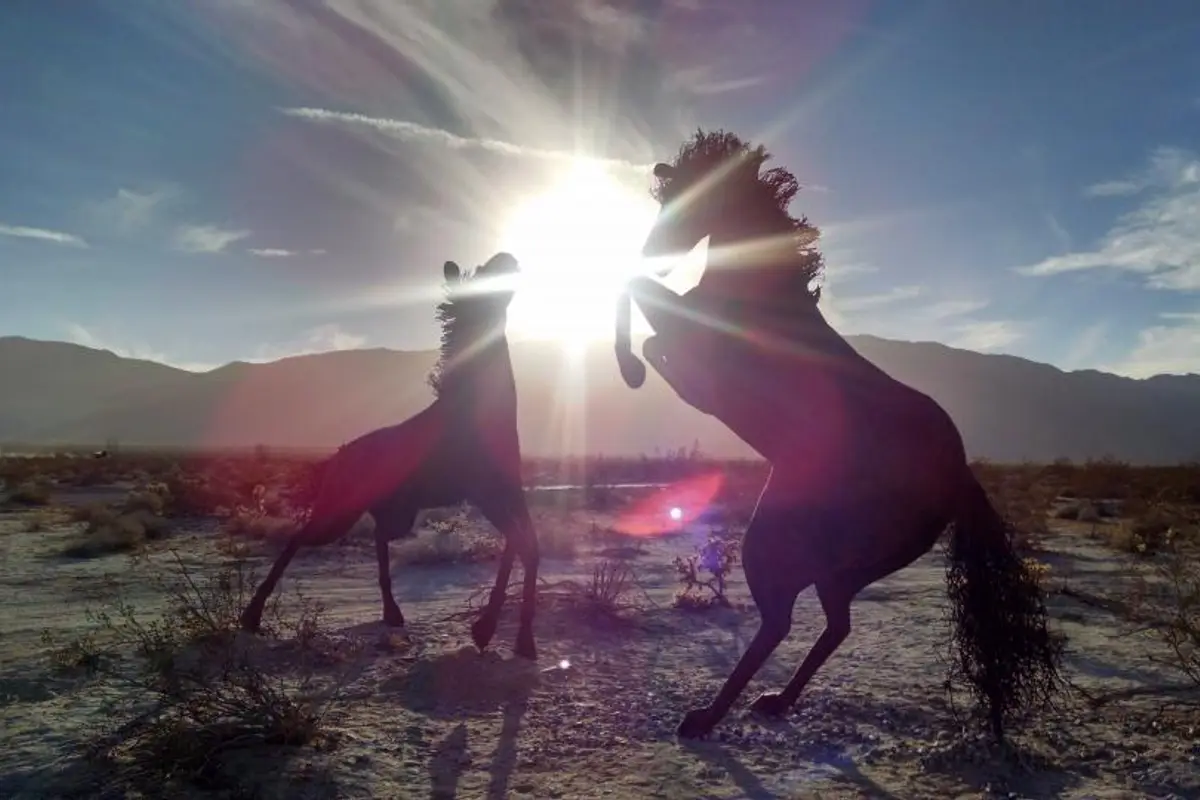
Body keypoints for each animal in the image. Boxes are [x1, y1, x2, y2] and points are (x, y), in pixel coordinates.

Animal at [240, 253, 541, 660]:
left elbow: (527, 548)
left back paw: (392, 612)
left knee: (379, 536)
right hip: (339, 512)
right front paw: (498, 633)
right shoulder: (486, 494)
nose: (508, 258)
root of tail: (338, 457)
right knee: (298, 538)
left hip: (397, 513)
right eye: (481, 278)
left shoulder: (510, 491)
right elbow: (521, 547)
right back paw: (251, 616)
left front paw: (507, 635)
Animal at [613, 130, 1061, 740]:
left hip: (774, 543)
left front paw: (632, 367)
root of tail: (957, 477)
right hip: (841, 569)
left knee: (781, 621)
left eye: (690, 197)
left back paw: (708, 717)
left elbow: (635, 303)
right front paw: (638, 363)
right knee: (834, 624)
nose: (656, 254)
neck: (760, 291)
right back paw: (775, 701)